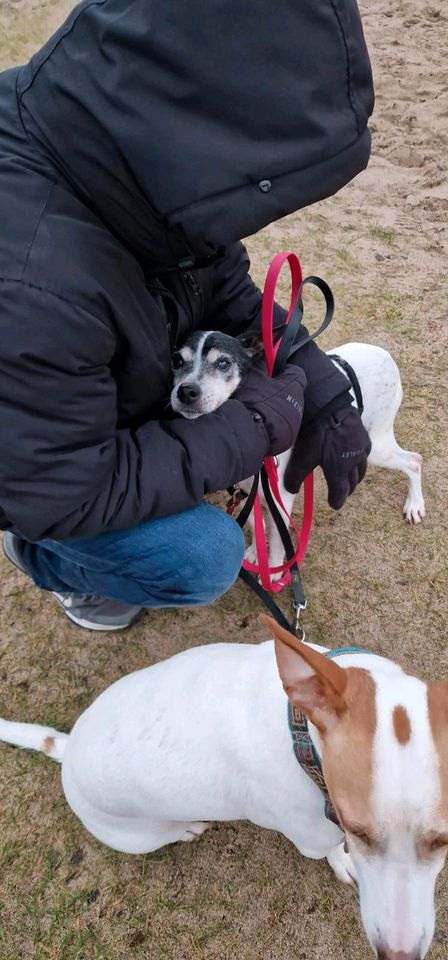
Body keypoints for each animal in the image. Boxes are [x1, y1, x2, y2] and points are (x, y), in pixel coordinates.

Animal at [1, 616, 446, 960]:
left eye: (443, 839)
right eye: (356, 829)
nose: (398, 954)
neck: (300, 733)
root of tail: (67, 747)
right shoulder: (314, 836)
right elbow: (332, 850)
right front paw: (344, 861)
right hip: (139, 835)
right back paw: (187, 828)